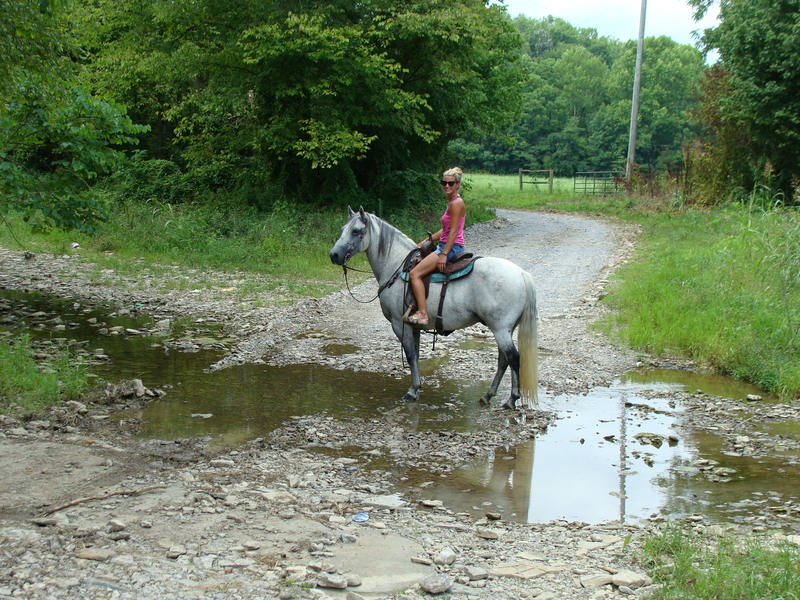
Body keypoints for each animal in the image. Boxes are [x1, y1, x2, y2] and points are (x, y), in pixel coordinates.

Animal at [329, 207, 539, 410]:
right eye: (343, 229)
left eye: (356, 231)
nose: (334, 255)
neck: (395, 266)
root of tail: (521, 274)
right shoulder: (413, 326)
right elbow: (416, 354)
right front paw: (417, 386)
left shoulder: (399, 324)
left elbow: (410, 355)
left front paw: (412, 391)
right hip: (505, 329)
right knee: (503, 359)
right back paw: (488, 395)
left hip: (500, 328)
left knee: (513, 358)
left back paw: (511, 399)